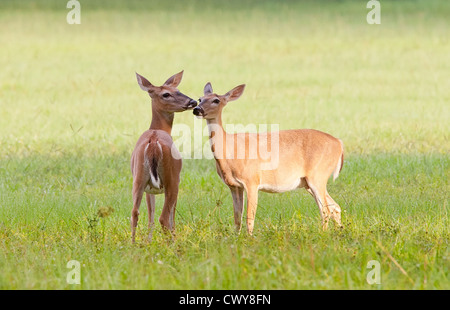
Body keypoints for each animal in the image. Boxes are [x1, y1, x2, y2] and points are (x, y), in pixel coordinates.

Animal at [130, 70, 197, 242]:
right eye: (166, 94)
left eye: (178, 90)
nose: (192, 101)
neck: (158, 129)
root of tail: (154, 142)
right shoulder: (176, 181)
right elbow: (171, 216)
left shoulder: (149, 189)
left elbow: (150, 216)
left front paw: (148, 241)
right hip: (171, 178)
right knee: (164, 218)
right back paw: (173, 243)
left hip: (139, 178)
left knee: (134, 213)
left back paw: (132, 244)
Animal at [193, 82, 344, 235]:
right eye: (200, 99)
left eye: (216, 100)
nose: (197, 109)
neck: (229, 154)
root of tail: (339, 143)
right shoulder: (234, 186)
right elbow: (237, 218)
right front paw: (236, 237)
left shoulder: (252, 180)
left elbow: (249, 218)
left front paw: (249, 237)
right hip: (308, 182)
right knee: (335, 207)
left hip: (318, 175)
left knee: (326, 210)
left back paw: (323, 233)